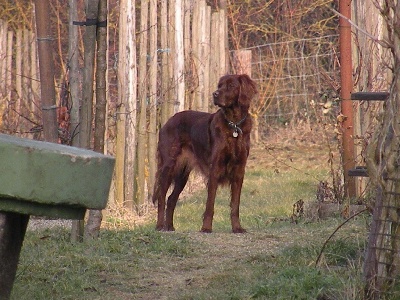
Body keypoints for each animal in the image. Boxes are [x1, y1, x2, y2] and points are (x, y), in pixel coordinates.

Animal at [152, 74, 258, 233]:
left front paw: (237, 227)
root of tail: (167, 122)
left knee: (171, 199)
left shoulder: (239, 170)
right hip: (168, 166)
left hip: (183, 174)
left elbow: (235, 205)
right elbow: (210, 204)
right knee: (161, 197)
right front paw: (206, 227)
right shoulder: (215, 169)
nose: (215, 94)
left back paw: (170, 226)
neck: (233, 124)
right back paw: (160, 226)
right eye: (220, 85)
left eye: (231, 85)